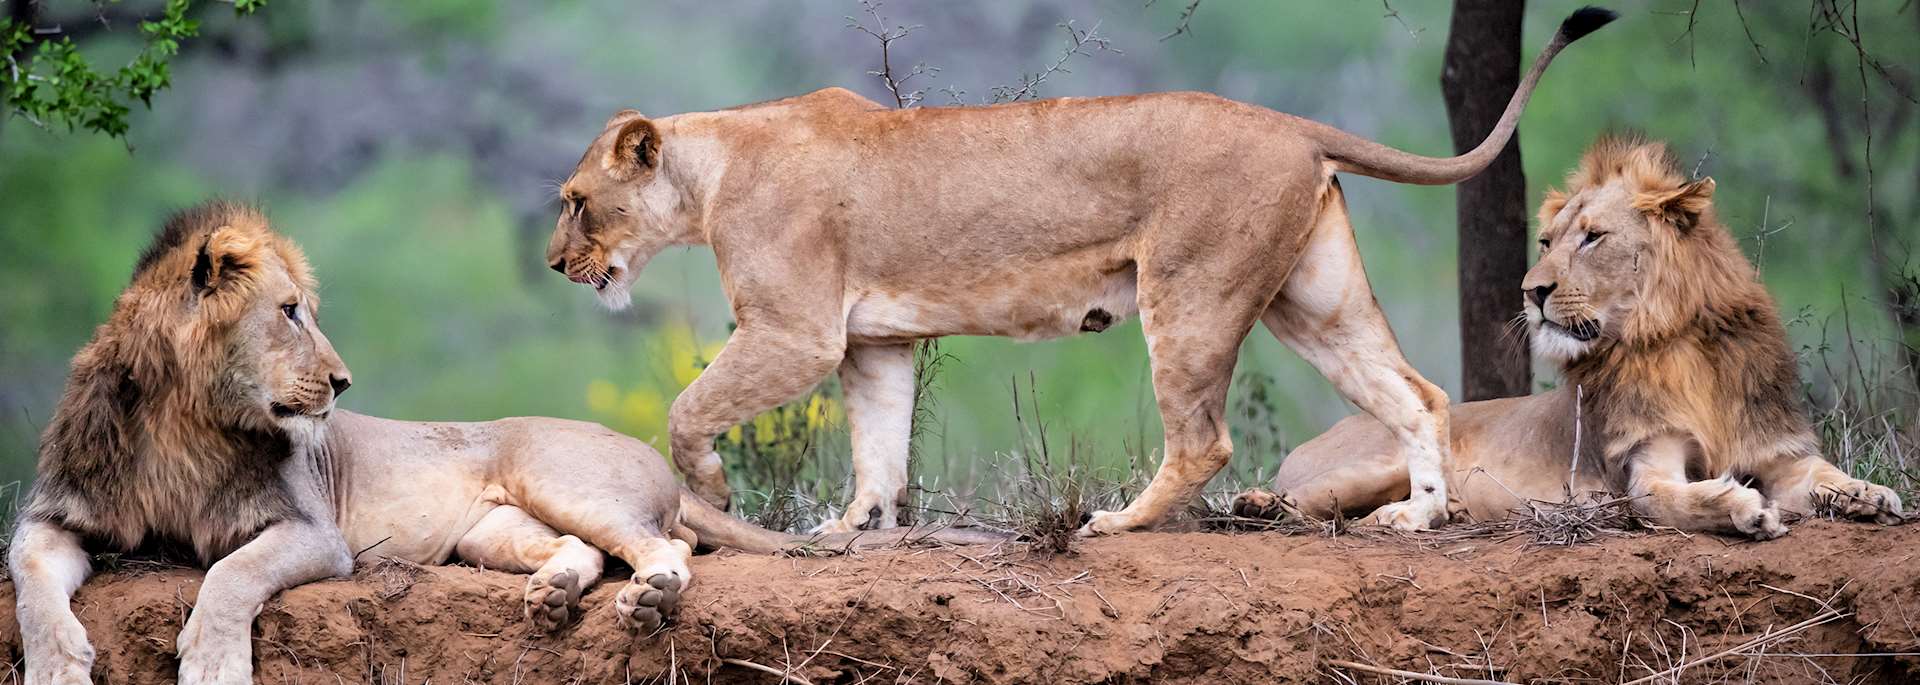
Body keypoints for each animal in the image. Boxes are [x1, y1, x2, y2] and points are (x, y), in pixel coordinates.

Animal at [9, 202, 999, 685]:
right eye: (289, 312)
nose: (343, 383)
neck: (184, 419)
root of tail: (653, 456)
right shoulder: (59, 511)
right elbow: (29, 579)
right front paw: (56, 666)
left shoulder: (310, 531)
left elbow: (225, 575)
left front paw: (212, 662)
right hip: (495, 529)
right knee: (580, 552)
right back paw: (554, 595)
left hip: (564, 474)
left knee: (666, 546)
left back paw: (645, 599)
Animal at [542, 10, 1618, 536]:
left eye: (576, 199)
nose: (554, 262)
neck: (711, 168)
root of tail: (1289, 122)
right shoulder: (872, 343)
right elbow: (878, 446)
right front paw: (850, 527)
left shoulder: (793, 332)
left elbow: (688, 409)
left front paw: (716, 495)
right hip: (1313, 300)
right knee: (1417, 393)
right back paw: (1417, 516)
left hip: (1191, 294)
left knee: (1205, 440)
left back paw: (1117, 521)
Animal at [1231, 135, 1905, 538]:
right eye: (1547, 241)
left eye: (1592, 237)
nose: (1531, 291)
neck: (1674, 342)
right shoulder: (1642, 472)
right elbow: (1682, 498)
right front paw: (1744, 507)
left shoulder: (1779, 454)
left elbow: (1826, 476)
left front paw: (1870, 495)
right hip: (1381, 457)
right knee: (1301, 496)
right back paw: (1259, 505)